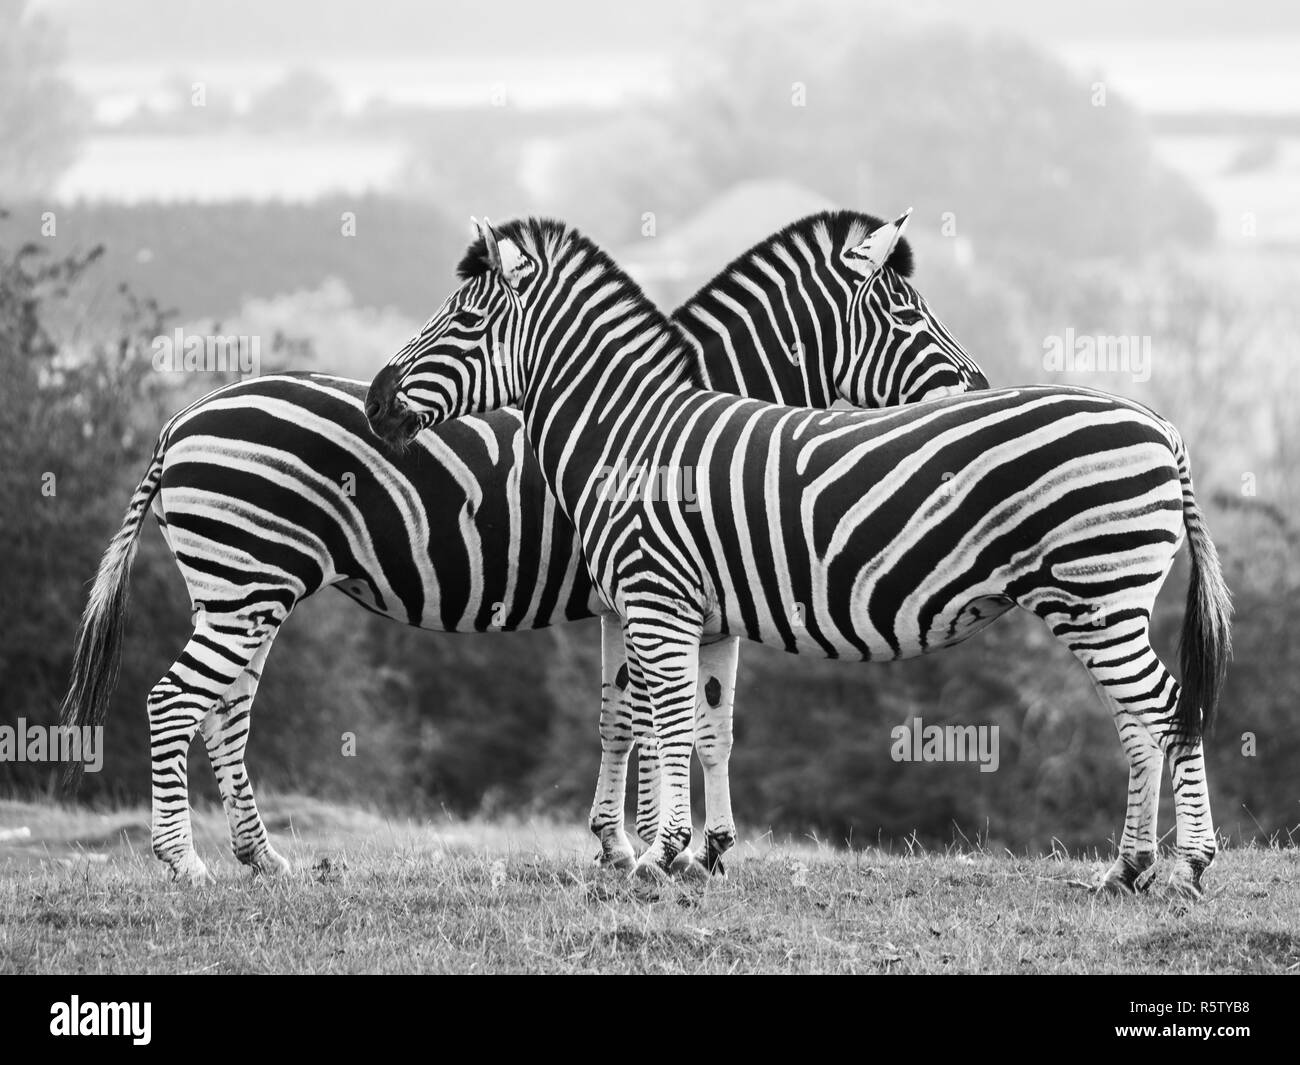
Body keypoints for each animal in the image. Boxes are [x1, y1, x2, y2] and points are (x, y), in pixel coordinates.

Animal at [55, 208, 977, 884]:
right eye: (906, 312)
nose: (977, 386)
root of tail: (180, 418)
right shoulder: (654, 590)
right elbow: (656, 721)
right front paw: (653, 846)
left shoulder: (646, 598)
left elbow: (639, 718)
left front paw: (637, 845)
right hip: (245, 580)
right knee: (177, 699)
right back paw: (185, 861)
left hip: (247, 587)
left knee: (226, 707)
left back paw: (262, 854)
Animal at [364, 217, 1227, 899]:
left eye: (463, 321)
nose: (376, 401)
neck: (630, 432)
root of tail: (1162, 425)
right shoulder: (698, 612)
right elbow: (700, 725)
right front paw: (691, 852)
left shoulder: (655, 597)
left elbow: (663, 721)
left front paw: (656, 855)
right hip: (1101, 600)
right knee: (1143, 718)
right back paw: (1129, 869)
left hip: (1097, 591)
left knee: (1163, 707)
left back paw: (1182, 867)